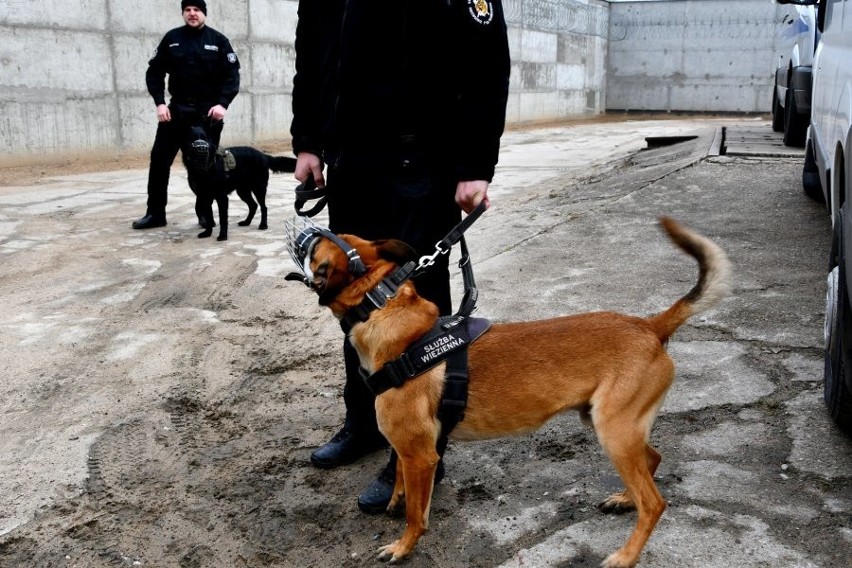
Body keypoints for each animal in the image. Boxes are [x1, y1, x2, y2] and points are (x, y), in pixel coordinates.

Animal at [294, 216, 732, 564]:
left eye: (318, 246)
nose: (306, 226)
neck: (382, 306)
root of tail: (649, 326)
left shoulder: (421, 455)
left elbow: (417, 516)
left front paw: (403, 547)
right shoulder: (408, 450)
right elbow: (400, 478)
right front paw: (395, 499)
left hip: (615, 434)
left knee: (654, 503)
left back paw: (625, 556)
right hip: (613, 428)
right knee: (652, 463)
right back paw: (626, 499)